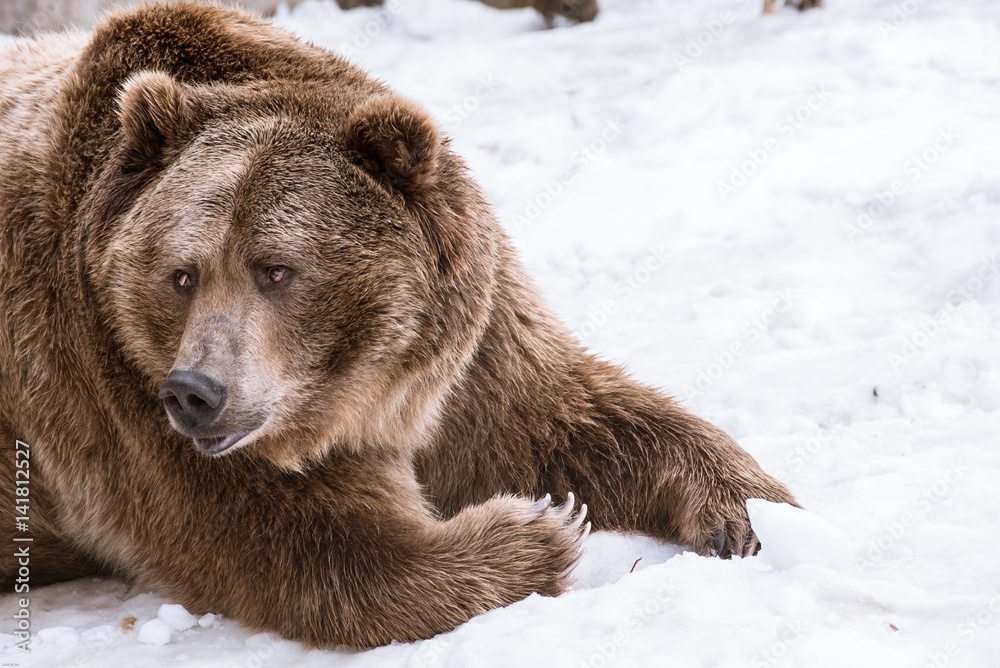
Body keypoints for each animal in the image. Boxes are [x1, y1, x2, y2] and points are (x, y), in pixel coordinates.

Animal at [0, 2, 796, 649]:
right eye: (181, 274)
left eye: (276, 269)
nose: (196, 392)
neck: (358, 390)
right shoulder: (106, 382)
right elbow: (305, 548)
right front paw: (540, 530)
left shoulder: (466, 358)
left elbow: (569, 415)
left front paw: (748, 514)